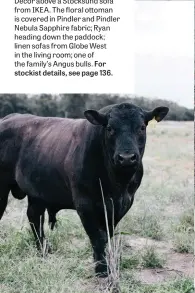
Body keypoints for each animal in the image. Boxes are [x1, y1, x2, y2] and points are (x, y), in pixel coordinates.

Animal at [0, 103, 168, 276]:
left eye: (142, 127)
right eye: (110, 128)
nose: (127, 158)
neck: (117, 184)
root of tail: (8, 118)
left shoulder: (123, 203)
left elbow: (107, 234)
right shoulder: (85, 204)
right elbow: (97, 237)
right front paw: (102, 268)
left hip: (37, 192)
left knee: (34, 217)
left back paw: (44, 250)